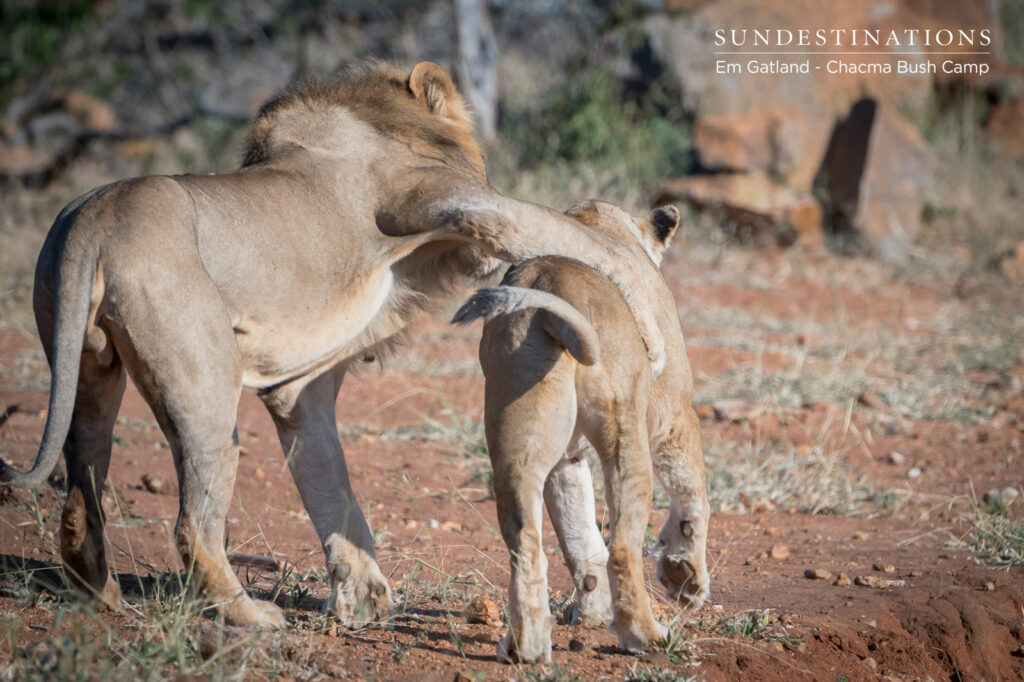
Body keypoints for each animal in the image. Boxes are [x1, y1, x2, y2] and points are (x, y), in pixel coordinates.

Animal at [0, 61, 670, 629]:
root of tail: (94, 220)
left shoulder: (299, 390)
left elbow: (328, 482)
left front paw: (364, 595)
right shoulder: (456, 201)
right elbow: (581, 237)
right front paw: (655, 325)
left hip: (89, 367)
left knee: (81, 493)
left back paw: (103, 597)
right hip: (203, 384)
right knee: (193, 526)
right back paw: (252, 619)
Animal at [452, 200, 709, 661]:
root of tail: (549, 301)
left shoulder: (567, 456)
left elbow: (579, 534)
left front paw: (591, 609)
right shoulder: (674, 413)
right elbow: (691, 492)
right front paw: (686, 577)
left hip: (519, 430)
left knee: (527, 540)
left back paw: (526, 645)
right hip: (627, 431)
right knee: (622, 548)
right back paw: (646, 637)